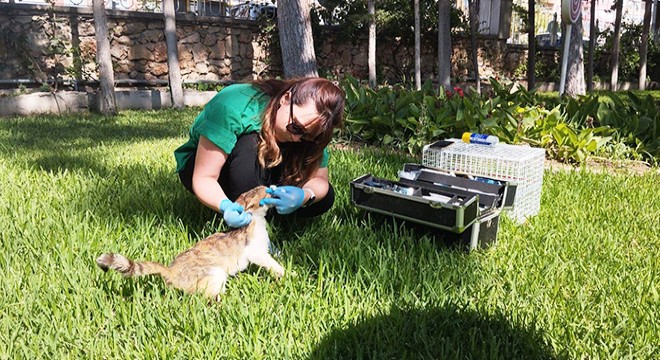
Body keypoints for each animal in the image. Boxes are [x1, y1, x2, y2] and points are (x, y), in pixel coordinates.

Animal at [96, 186, 284, 300]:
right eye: (267, 192)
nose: (273, 186)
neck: (256, 219)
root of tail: (171, 271)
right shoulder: (256, 252)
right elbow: (270, 262)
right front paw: (283, 272)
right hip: (214, 273)